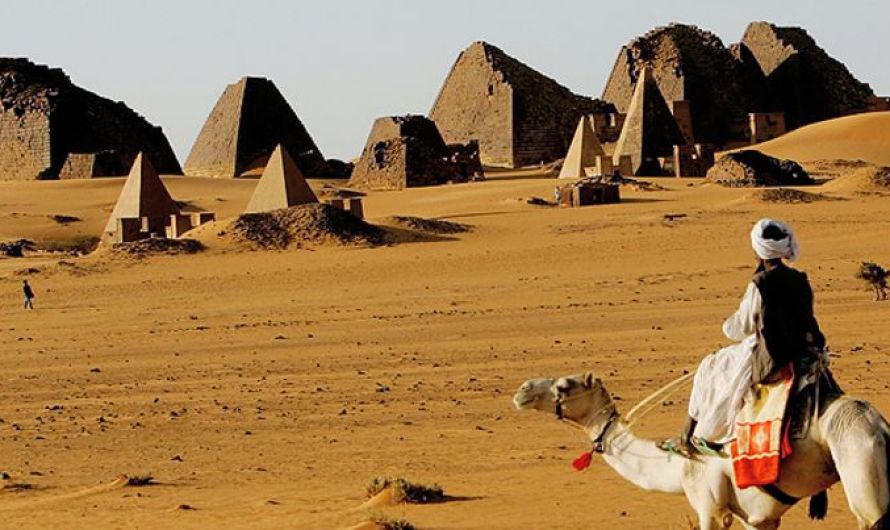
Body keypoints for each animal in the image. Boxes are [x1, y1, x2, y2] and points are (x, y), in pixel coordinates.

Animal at [510, 372, 888, 528]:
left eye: (564, 385)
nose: (522, 390)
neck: (677, 466)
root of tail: (877, 423)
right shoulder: (759, 517)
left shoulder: (710, 506)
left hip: (859, 465)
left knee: (870, 516)